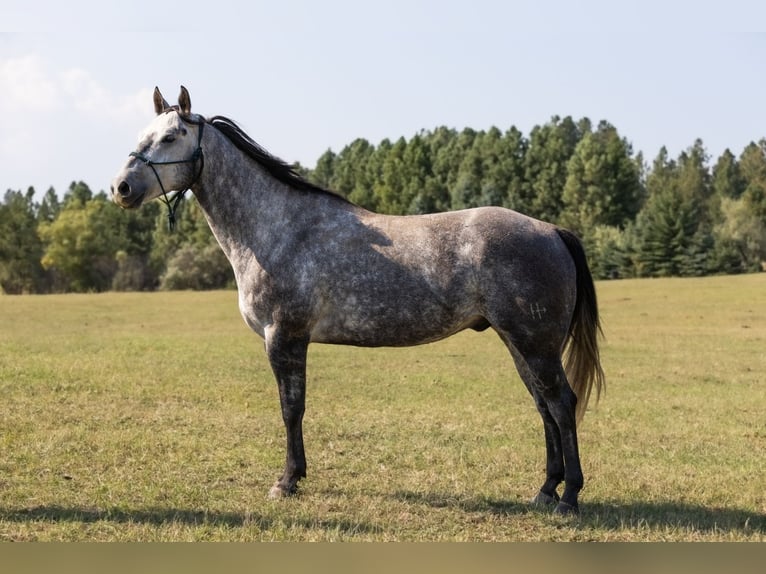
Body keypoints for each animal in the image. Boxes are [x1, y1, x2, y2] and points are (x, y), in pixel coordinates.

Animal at [112, 86, 608, 516]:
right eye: (142, 135)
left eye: (171, 136)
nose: (121, 188)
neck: (278, 228)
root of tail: (551, 231)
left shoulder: (284, 338)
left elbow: (291, 408)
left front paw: (287, 481)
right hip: (520, 344)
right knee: (544, 407)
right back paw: (545, 490)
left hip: (535, 345)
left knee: (562, 404)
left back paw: (569, 497)